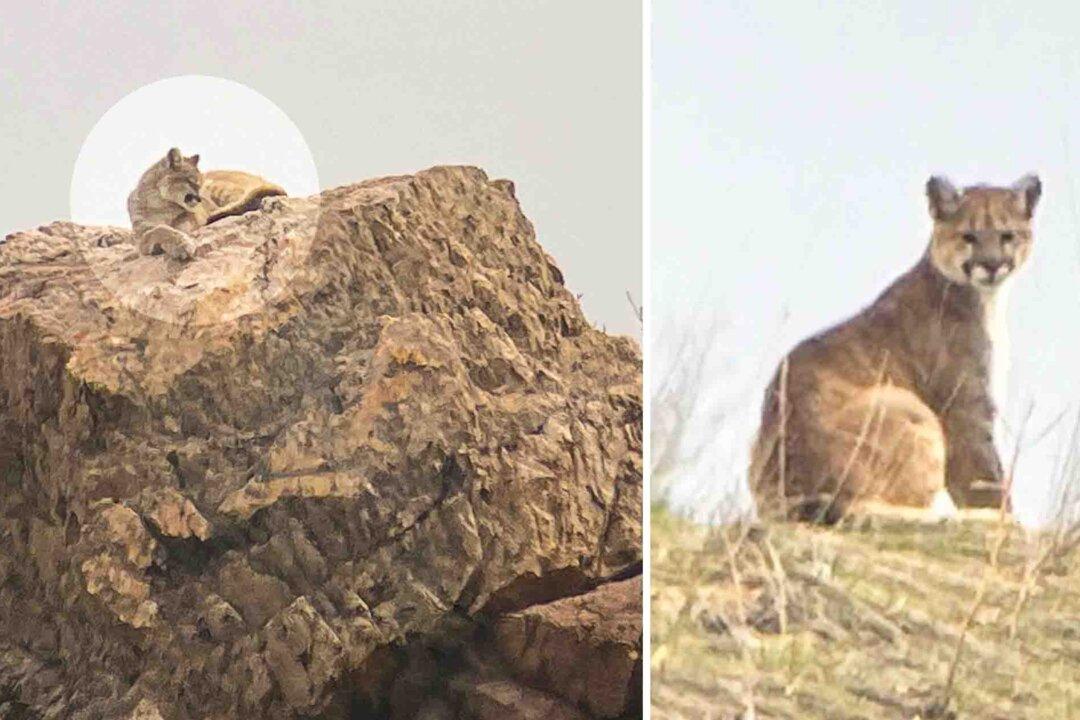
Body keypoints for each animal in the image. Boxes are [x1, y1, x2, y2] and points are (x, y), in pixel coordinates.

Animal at [749, 174, 1041, 523]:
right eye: (968, 237)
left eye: (1007, 235)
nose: (992, 264)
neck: (988, 299)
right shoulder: (966, 412)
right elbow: (989, 483)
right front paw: (1005, 520)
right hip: (905, 405)